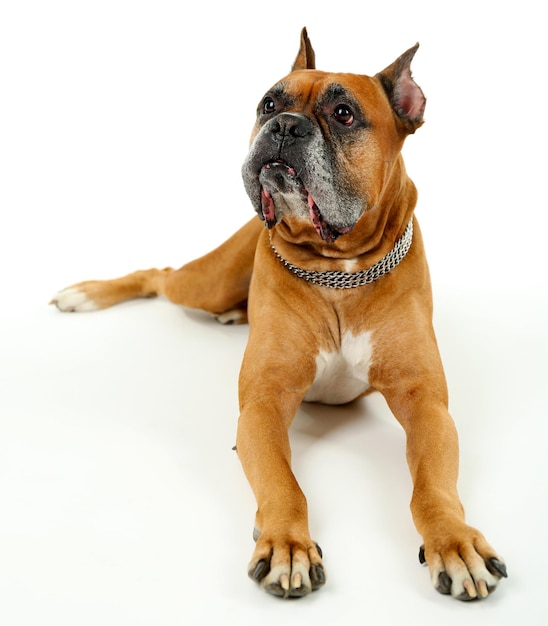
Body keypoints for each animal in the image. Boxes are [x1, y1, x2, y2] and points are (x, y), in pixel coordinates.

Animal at [51, 29, 506, 600]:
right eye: (269, 103)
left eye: (343, 113)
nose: (285, 125)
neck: (337, 270)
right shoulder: (263, 407)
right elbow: (284, 484)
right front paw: (287, 544)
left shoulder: (427, 407)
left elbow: (432, 487)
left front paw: (453, 541)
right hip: (203, 283)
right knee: (159, 273)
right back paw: (86, 294)